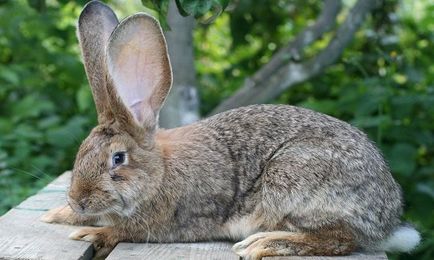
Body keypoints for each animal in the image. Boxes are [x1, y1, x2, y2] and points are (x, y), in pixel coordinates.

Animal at [40, 1, 420, 258]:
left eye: (118, 159)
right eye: (82, 152)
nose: (78, 200)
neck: (159, 172)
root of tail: (388, 220)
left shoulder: (164, 222)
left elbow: (121, 230)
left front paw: (89, 233)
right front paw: (56, 215)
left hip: (293, 178)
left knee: (341, 239)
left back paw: (264, 243)